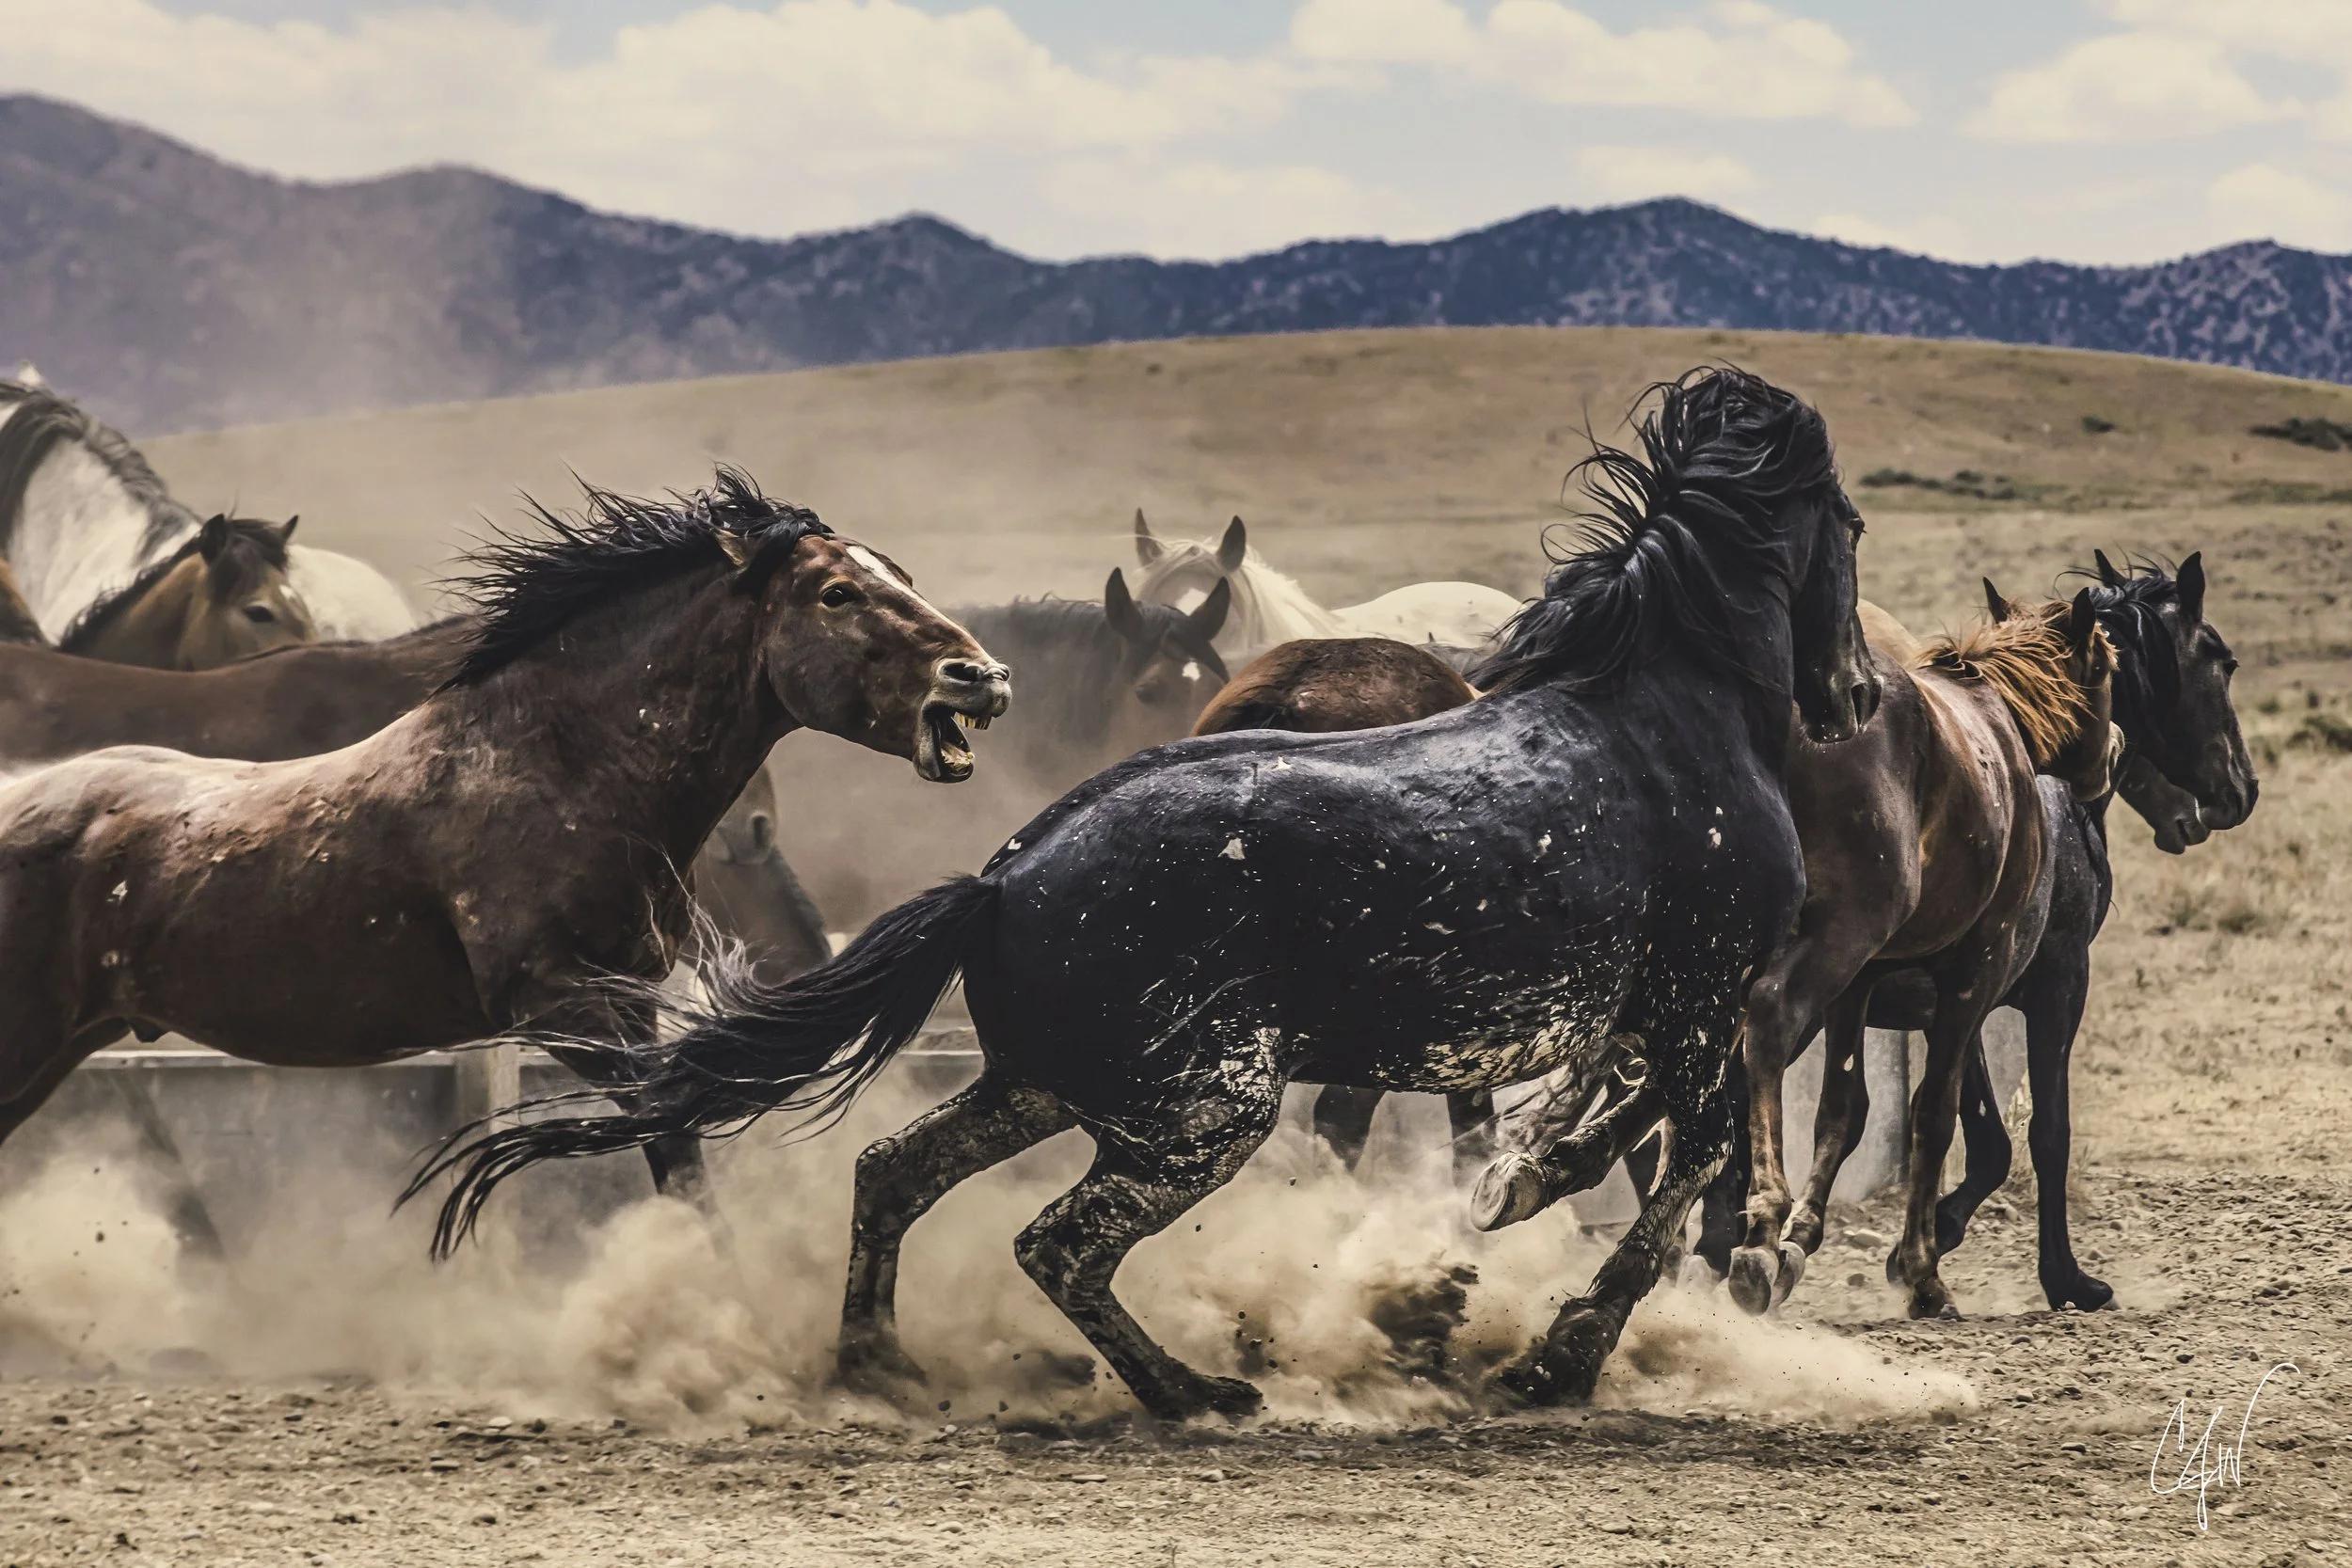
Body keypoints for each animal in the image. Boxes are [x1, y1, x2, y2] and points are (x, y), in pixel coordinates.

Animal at [0, 469, 1008, 1214]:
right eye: (837, 593)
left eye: (902, 576)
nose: (982, 676)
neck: (558, 765)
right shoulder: (558, 1004)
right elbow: (671, 1130)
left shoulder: (628, 997)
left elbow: (679, 1157)